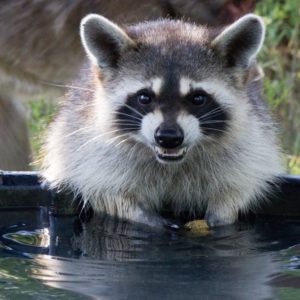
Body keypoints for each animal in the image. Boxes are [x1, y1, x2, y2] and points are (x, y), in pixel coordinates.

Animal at [41, 12, 282, 226]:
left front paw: (221, 216)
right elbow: (109, 196)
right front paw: (144, 219)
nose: (168, 137)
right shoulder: (89, 150)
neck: (171, 162)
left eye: (198, 98)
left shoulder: (251, 142)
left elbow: (239, 190)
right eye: (144, 97)